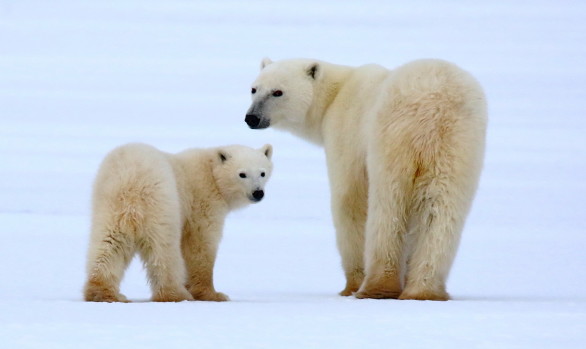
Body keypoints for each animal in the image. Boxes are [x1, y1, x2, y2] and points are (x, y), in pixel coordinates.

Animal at [83, 143, 272, 300]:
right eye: (242, 174)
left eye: (262, 173)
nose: (258, 193)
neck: (211, 172)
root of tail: (131, 183)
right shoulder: (202, 202)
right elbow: (200, 245)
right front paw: (213, 294)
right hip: (161, 203)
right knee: (163, 250)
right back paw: (175, 294)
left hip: (109, 206)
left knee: (108, 244)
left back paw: (102, 292)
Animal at [244, 57, 486, 300]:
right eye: (254, 89)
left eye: (278, 92)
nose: (251, 118)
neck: (334, 95)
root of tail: (437, 109)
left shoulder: (346, 132)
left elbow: (350, 200)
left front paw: (351, 285)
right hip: (459, 146)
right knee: (441, 210)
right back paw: (423, 291)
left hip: (393, 135)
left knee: (388, 205)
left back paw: (378, 286)